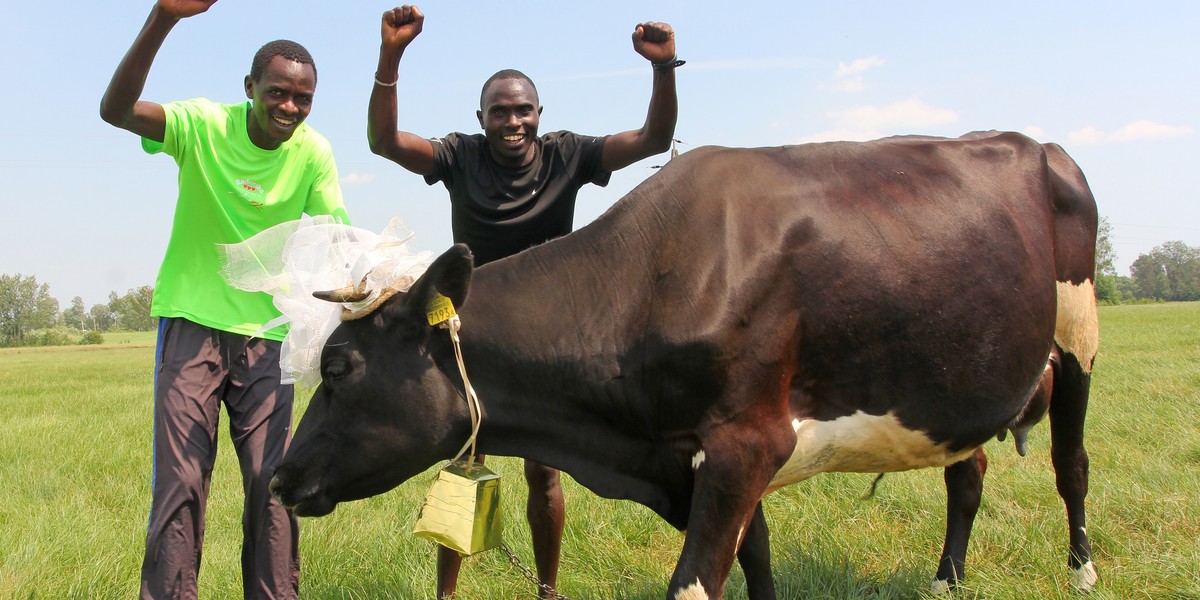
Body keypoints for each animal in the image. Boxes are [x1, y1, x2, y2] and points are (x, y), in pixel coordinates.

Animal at [270, 132, 1099, 600]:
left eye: (339, 366)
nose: (279, 477)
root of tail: (1037, 143)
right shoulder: (695, 463)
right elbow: (756, 564)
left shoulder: (747, 443)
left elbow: (696, 584)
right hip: (959, 378)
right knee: (969, 473)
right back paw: (946, 578)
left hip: (1079, 334)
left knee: (1072, 464)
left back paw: (1082, 571)